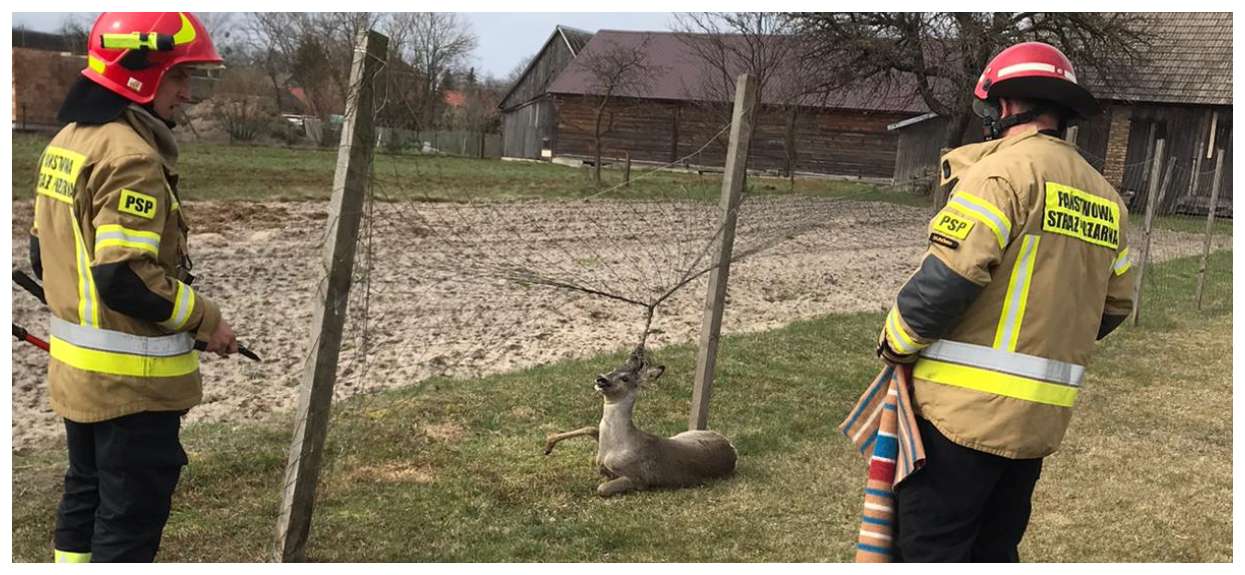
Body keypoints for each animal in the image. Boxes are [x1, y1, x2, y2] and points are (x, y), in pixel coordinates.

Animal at [542, 345, 732, 497]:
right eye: (613, 369)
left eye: (625, 378)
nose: (600, 378)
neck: (614, 445)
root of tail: (732, 449)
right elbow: (591, 428)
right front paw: (549, 443)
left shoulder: (638, 479)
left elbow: (602, 488)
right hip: (686, 434)